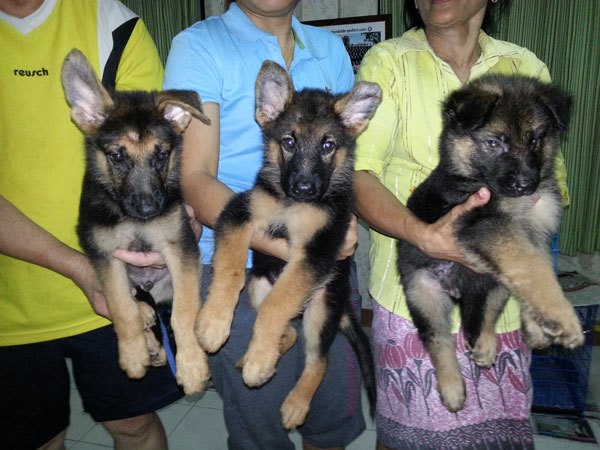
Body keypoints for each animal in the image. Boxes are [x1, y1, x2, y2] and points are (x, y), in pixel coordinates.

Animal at [61, 48, 210, 395]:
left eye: (162, 155)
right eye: (117, 156)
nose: (148, 208)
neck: (133, 221)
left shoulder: (180, 247)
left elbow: (184, 312)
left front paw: (192, 365)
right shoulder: (105, 256)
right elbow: (121, 308)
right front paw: (132, 355)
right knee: (136, 302)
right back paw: (148, 337)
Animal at [194, 60, 381, 429]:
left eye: (328, 145)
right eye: (289, 141)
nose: (305, 188)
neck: (291, 204)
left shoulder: (316, 253)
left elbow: (277, 305)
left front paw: (258, 360)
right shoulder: (240, 214)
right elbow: (230, 267)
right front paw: (214, 322)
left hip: (321, 308)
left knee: (317, 359)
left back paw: (292, 397)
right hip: (258, 285)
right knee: (289, 332)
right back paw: (260, 356)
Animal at [396, 73, 584, 412]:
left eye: (535, 139)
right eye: (494, 142)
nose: (525, 184)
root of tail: (459, 290)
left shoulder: (535, 233)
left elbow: (536, 271)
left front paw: (539, 324)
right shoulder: (484, 223)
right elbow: (533, 268)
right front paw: (563, 316)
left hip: (494, 284)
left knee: (484, 315)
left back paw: (485, 343)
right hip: (423, 293)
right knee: (439, 340)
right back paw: (452, 388)